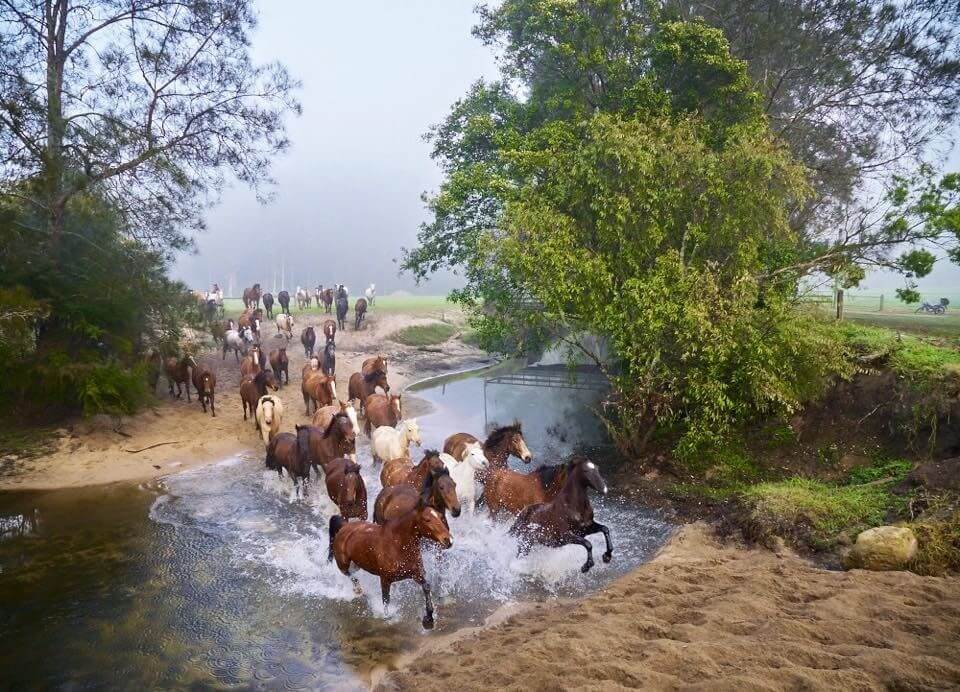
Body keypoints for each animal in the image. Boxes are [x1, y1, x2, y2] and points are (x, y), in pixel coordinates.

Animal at [328, 500, 452, 628]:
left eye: (441, 517)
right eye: (427, 519)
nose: (448, 540)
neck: (397, 544)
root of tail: (344, 527)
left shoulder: (416, 574)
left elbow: (426, 587)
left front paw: (428, 618)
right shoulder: (385, 579)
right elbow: (386, 600)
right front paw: (387, 618)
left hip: (356, 565)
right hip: (343, 565)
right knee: (350, 575)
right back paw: (358, 591)